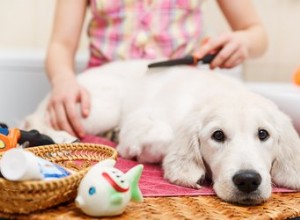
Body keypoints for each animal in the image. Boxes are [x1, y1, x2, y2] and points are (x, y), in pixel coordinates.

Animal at [21, 59, 300, 205]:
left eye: (263, 134)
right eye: (218, 135)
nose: (248, 180)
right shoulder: (139, 121)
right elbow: (165, 137)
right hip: (98, 109)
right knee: (34, 118)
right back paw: (61, 136)